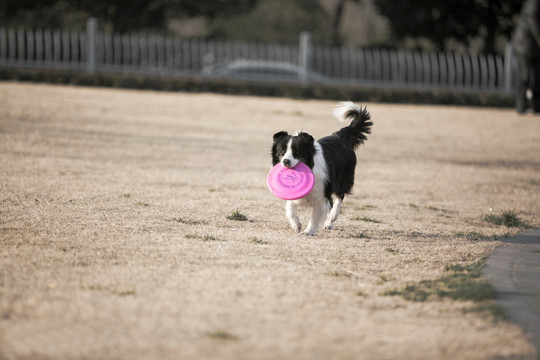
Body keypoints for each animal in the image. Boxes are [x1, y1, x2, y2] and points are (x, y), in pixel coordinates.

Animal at [270, 101, 372, 236]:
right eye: (282, 152)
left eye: (297, 152)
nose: (285, 161)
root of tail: (341, 138)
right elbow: (290, 208)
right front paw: (296, 225)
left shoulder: (321, 195)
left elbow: (315, 216)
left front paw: (308, 231)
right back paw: (329, 223)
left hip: (343, 178)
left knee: (339, 196)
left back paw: (332, 217)